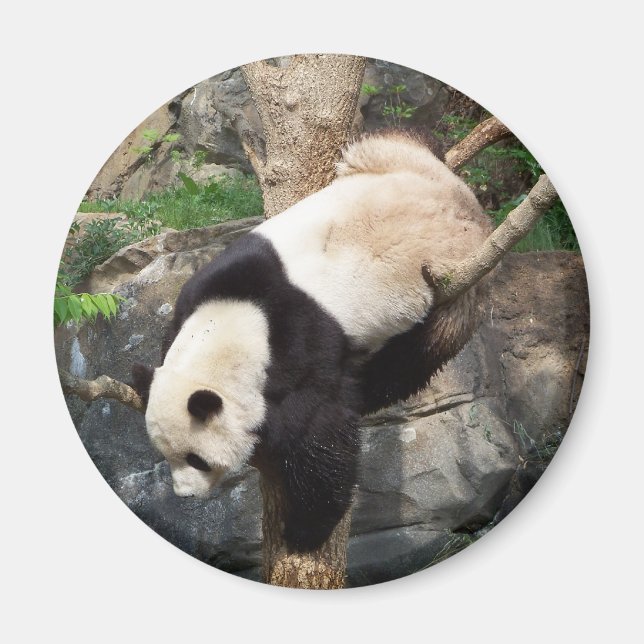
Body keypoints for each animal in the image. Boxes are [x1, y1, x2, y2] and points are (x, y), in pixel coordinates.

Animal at [131, 130, 492, 552]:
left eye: (196, 459)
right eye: (165, 455)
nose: (185, 495)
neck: (237, 321)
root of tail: (475, 207)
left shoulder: (304, 344)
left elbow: (319, 432)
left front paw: (304, 532)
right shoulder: (207, 288)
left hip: (451, 281)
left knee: (416, 354)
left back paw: (372, 388)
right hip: (389, 161)